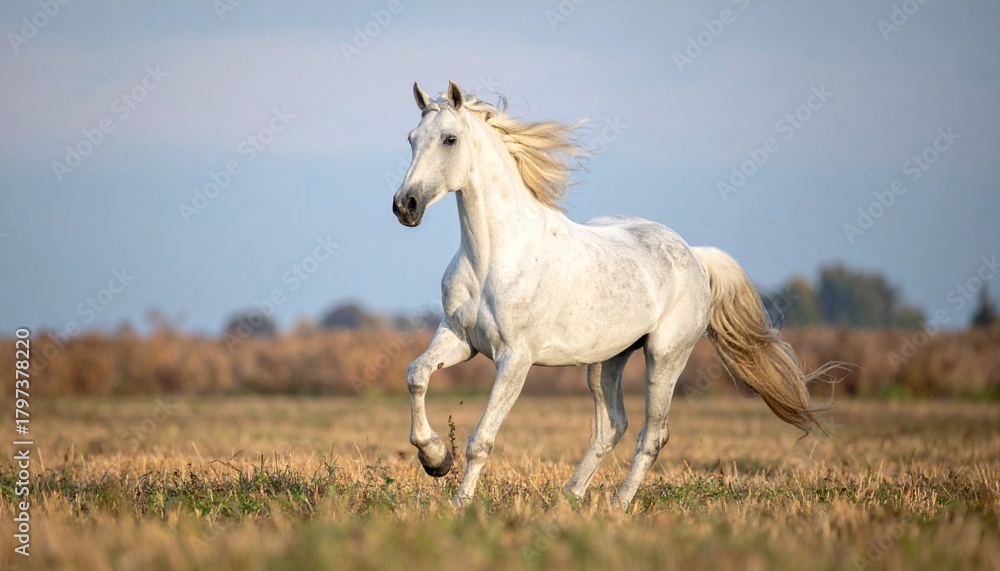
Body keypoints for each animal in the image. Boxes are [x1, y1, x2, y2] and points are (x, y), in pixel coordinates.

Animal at [392, 80, 833, 510]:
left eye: (449, 139)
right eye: (412, 138)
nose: (405, 206)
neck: (494, 256)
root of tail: (695, 256)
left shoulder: (515, 357)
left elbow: (481, 440)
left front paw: (460, 502)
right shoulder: (459, 338)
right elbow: (416, 375)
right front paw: (434, 459)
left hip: (665, 357)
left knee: (652, 434)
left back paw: (618, 505)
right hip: (606, 361)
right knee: (612, 426)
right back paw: (569, 497)